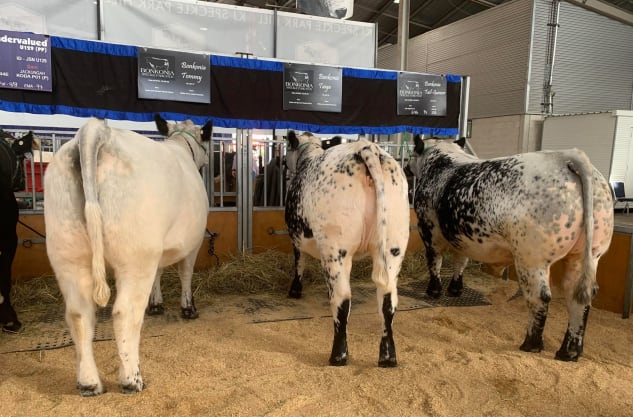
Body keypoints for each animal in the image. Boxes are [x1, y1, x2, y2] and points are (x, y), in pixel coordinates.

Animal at [45, 114, 212, 394]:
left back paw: (89, 383)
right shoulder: (192, 242)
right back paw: (132, 379)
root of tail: (96, 130)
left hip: (67, 252)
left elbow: (159, 274)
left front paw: (156, 303)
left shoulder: (159, 249)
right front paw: (188, 308)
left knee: (79, 314)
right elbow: (185, 273)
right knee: (125, 313)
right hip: (135, 256)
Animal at [282, 132, 410, 366]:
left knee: (342, 300)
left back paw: (338, 356)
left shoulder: (296, 237)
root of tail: (366, 147)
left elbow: (299, 262)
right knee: (388, 301)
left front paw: (295, 290)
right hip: (394, 246)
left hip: (336, 248)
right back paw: (388, 357)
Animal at [404, 136, 612, 360]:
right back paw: (569, 352)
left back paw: (531, 344)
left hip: (531, 259)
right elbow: (461, 260)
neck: (443, 160)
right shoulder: (460, 234)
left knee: (540, 297)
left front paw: (434, 291)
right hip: (586, 255)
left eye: (412, 153)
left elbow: (435, 260)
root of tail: (567, 156)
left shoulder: (428, 228)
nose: (406, 167)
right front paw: (455, 289)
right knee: (578, 298)